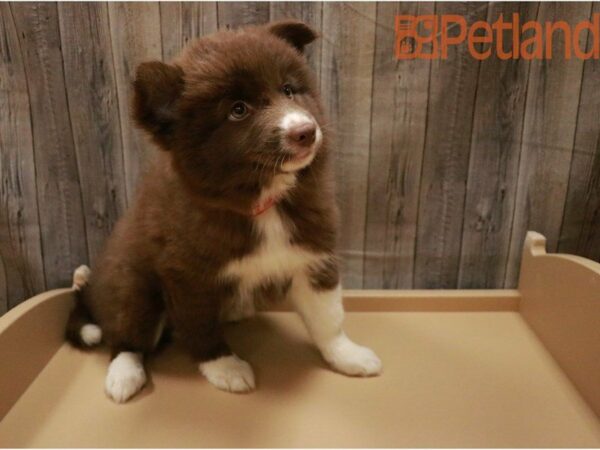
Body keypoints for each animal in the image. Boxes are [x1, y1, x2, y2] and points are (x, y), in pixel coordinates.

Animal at [65, 19, 382, 402]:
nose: (306, 131)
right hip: (133, 286)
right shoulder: (187, 274)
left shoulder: (312, 253)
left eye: (289, 90)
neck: (261, 202)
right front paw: (225, 367)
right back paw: (123, 374)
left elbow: (328, 316)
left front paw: (347, 355)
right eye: (238, 110)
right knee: (127, 335)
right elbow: (200, 325)